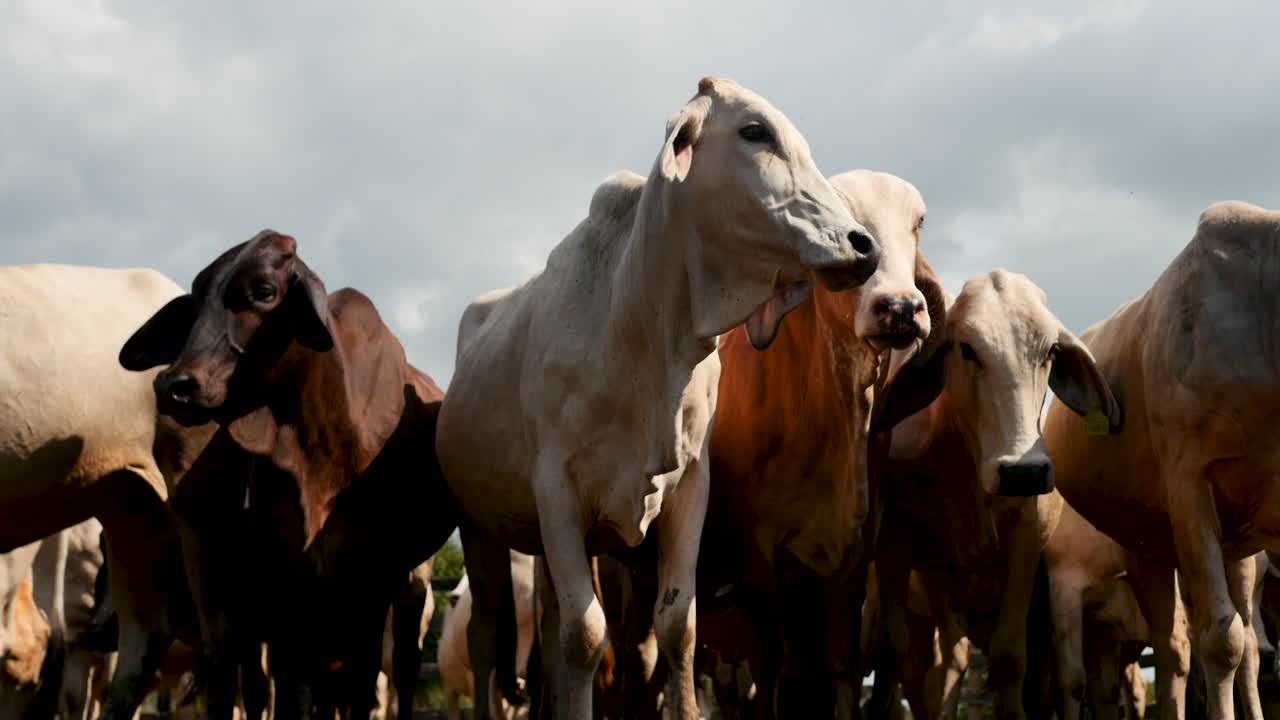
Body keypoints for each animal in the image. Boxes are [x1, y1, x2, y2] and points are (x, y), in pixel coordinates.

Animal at [119, 231, 465, 719]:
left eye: (264, 291)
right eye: (196, 300)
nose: (174, 386)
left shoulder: (369, 582)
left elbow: (359, 683)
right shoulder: (283, 587)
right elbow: (289, 687)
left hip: (411, 585)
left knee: (402, 665)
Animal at [435, 75, 882, 720]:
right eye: (754, 131)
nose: (862, 244)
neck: (646, 333)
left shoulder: (689, 486)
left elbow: (676, 627)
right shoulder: (556, 491)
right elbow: (586, 636)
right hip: (478, 525)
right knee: (485, 640)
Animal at [695, 168, 943, 718]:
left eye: (917, 223)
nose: (899, 307)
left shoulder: (849, 560)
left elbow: (839, 668)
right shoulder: (756, 558)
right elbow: (769, 669)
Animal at [868, 269, 1122, 719]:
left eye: (1051, 350)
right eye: (967, 348)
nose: (1024, 472)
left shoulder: (1025, 544)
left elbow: (1009, 657)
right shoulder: (894, 544)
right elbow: (893, 650)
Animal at [1043, 201, 1280, 720]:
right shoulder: (1189, 483)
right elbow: (1220, 641)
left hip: (1236, 549)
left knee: (1243, 651)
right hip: (1149, 545)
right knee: (1176, 652)